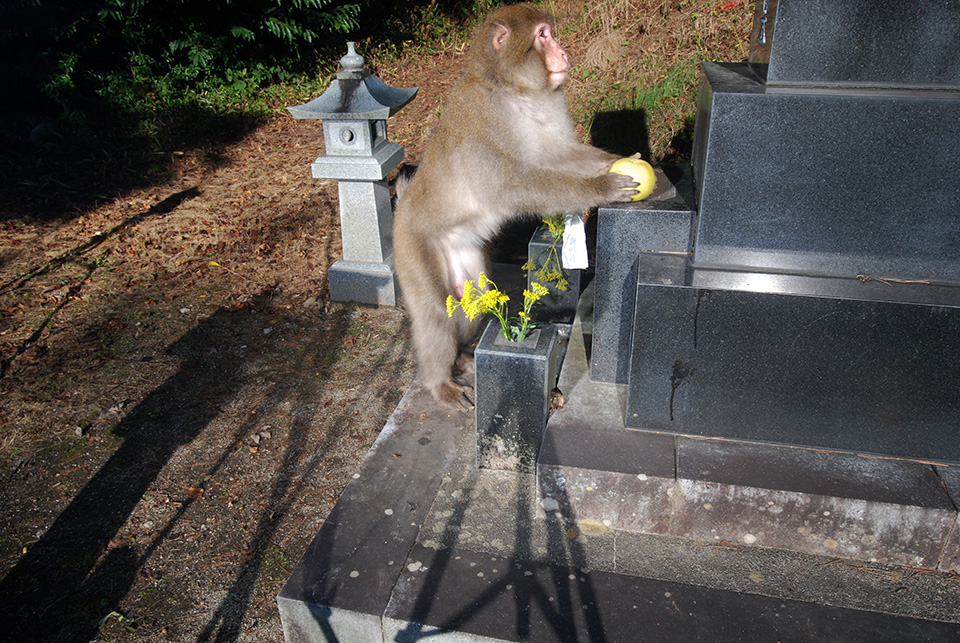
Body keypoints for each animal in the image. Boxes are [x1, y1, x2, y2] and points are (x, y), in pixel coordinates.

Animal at [394, 3, 640, 412]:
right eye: (543, 36)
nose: (564, 52)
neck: (514, 89)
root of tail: (402, 209)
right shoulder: (483, 116)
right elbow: (510, 186)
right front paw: (600, 188)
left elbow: (561, 155)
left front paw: (623, 162)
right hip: (413, 252)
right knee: (436, 313)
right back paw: (439, 382)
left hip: (464, 258)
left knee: (474, 303)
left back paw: (462, 357)